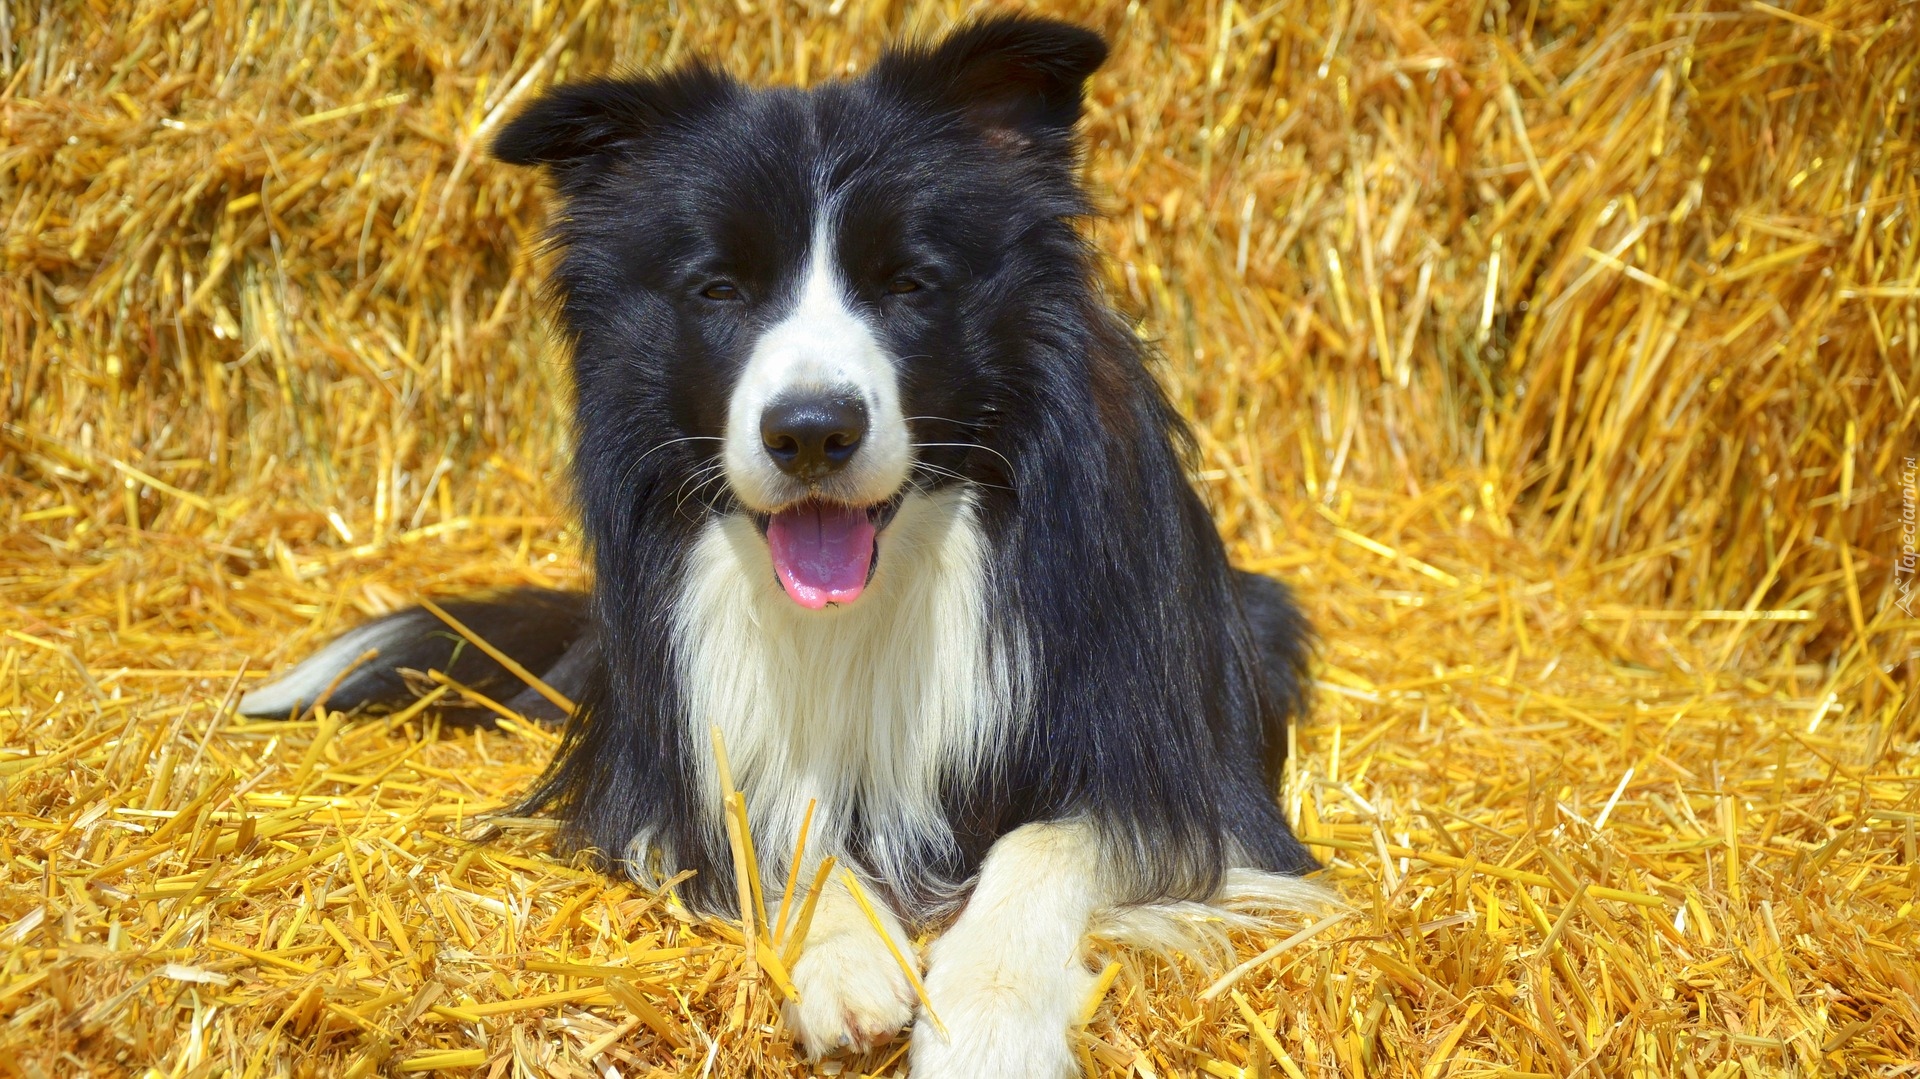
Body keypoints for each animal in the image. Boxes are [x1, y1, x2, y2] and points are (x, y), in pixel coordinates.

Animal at [236, 14, 1320, 1067]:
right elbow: (775, 822)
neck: (884, 588)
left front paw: (986, 1024)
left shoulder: (1177, 769)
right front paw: (844, 960)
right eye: (719, 290)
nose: (809, 432)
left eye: (909, 283)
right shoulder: (666, 764)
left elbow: (1048, 841)